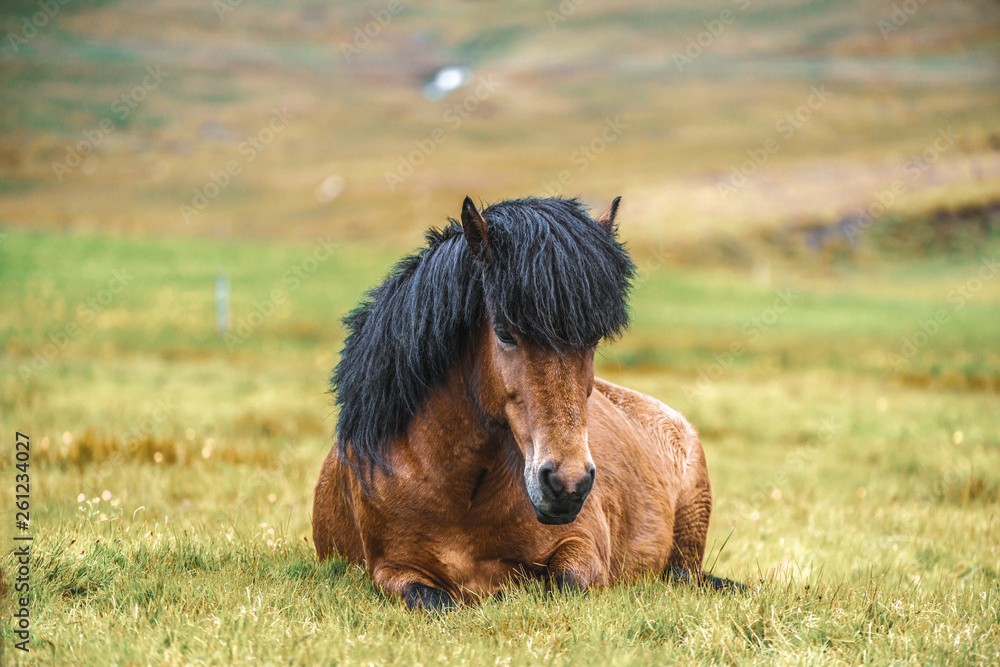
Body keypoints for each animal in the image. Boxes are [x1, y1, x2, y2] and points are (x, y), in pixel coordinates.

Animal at [312, 194, 736, 612]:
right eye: (504, 332)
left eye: (594, 339)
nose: (568, 484)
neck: (460, 495)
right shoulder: (391, 569)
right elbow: (433, 602)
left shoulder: (582, 548)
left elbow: (565, 584)